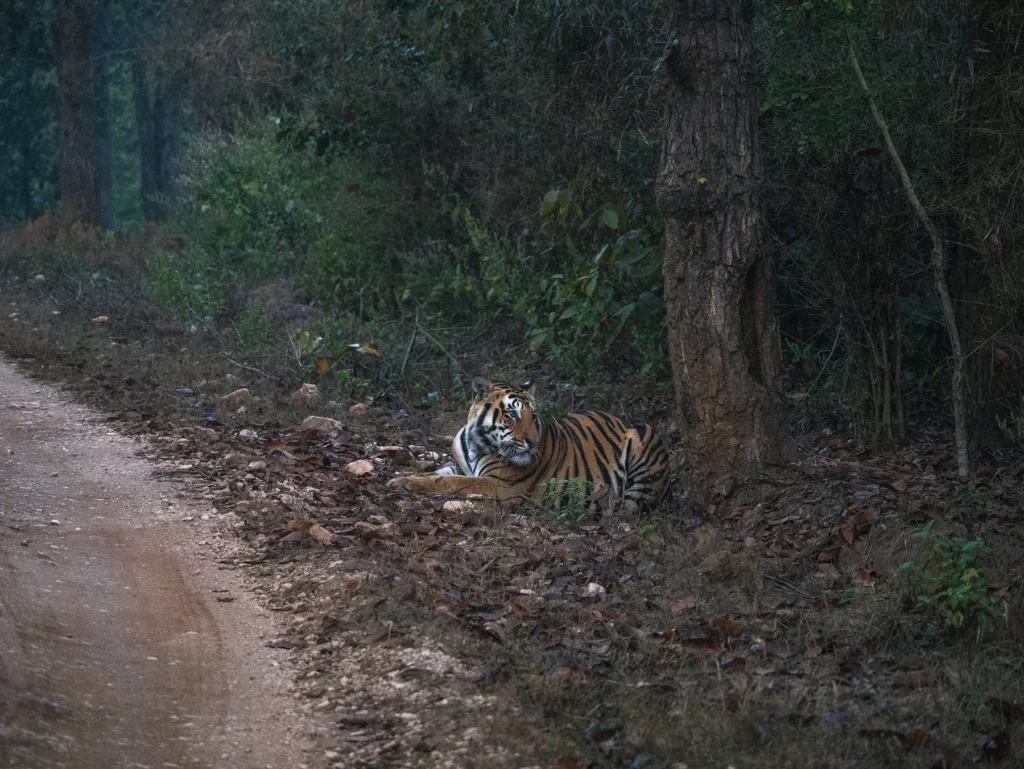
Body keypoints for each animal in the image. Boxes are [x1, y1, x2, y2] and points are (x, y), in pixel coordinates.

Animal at [388, 377, 669, 512]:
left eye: (533, 416)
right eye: (512, 414)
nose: (533, 443)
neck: (477, 442)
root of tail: (623, 419)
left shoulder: (501, 485)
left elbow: (451, 482)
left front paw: (407, 483)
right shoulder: (461, 466)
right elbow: (439, 473)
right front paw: (402, 478)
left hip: (643, 437)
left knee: (629, 509)